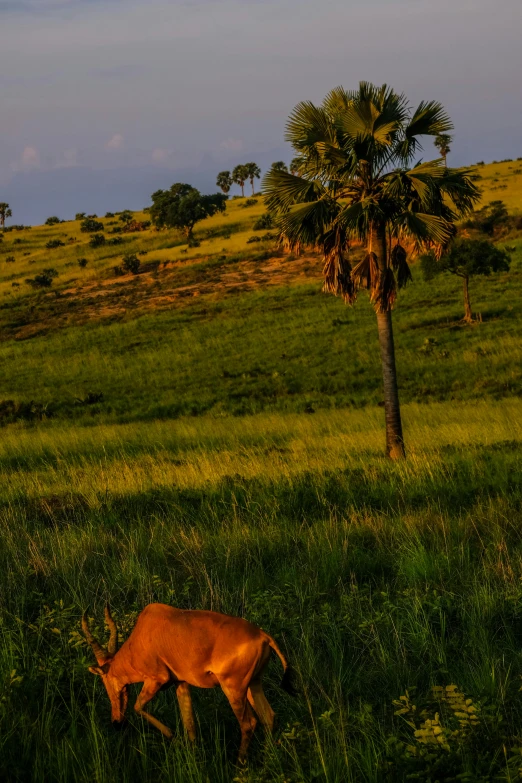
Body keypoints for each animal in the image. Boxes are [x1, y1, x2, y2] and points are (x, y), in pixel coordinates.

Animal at [80, 604, 292, 764]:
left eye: (106, 681)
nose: (116, 722)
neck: (144, 632)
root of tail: (263, 636)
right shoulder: (181, 684)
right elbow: (189, 722)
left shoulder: (157, 679)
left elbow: (138, 707)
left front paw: (173, 736)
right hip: (253, 685)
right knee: (268, 717)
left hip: (233, 689)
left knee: (248, 723)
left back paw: (239, 765)